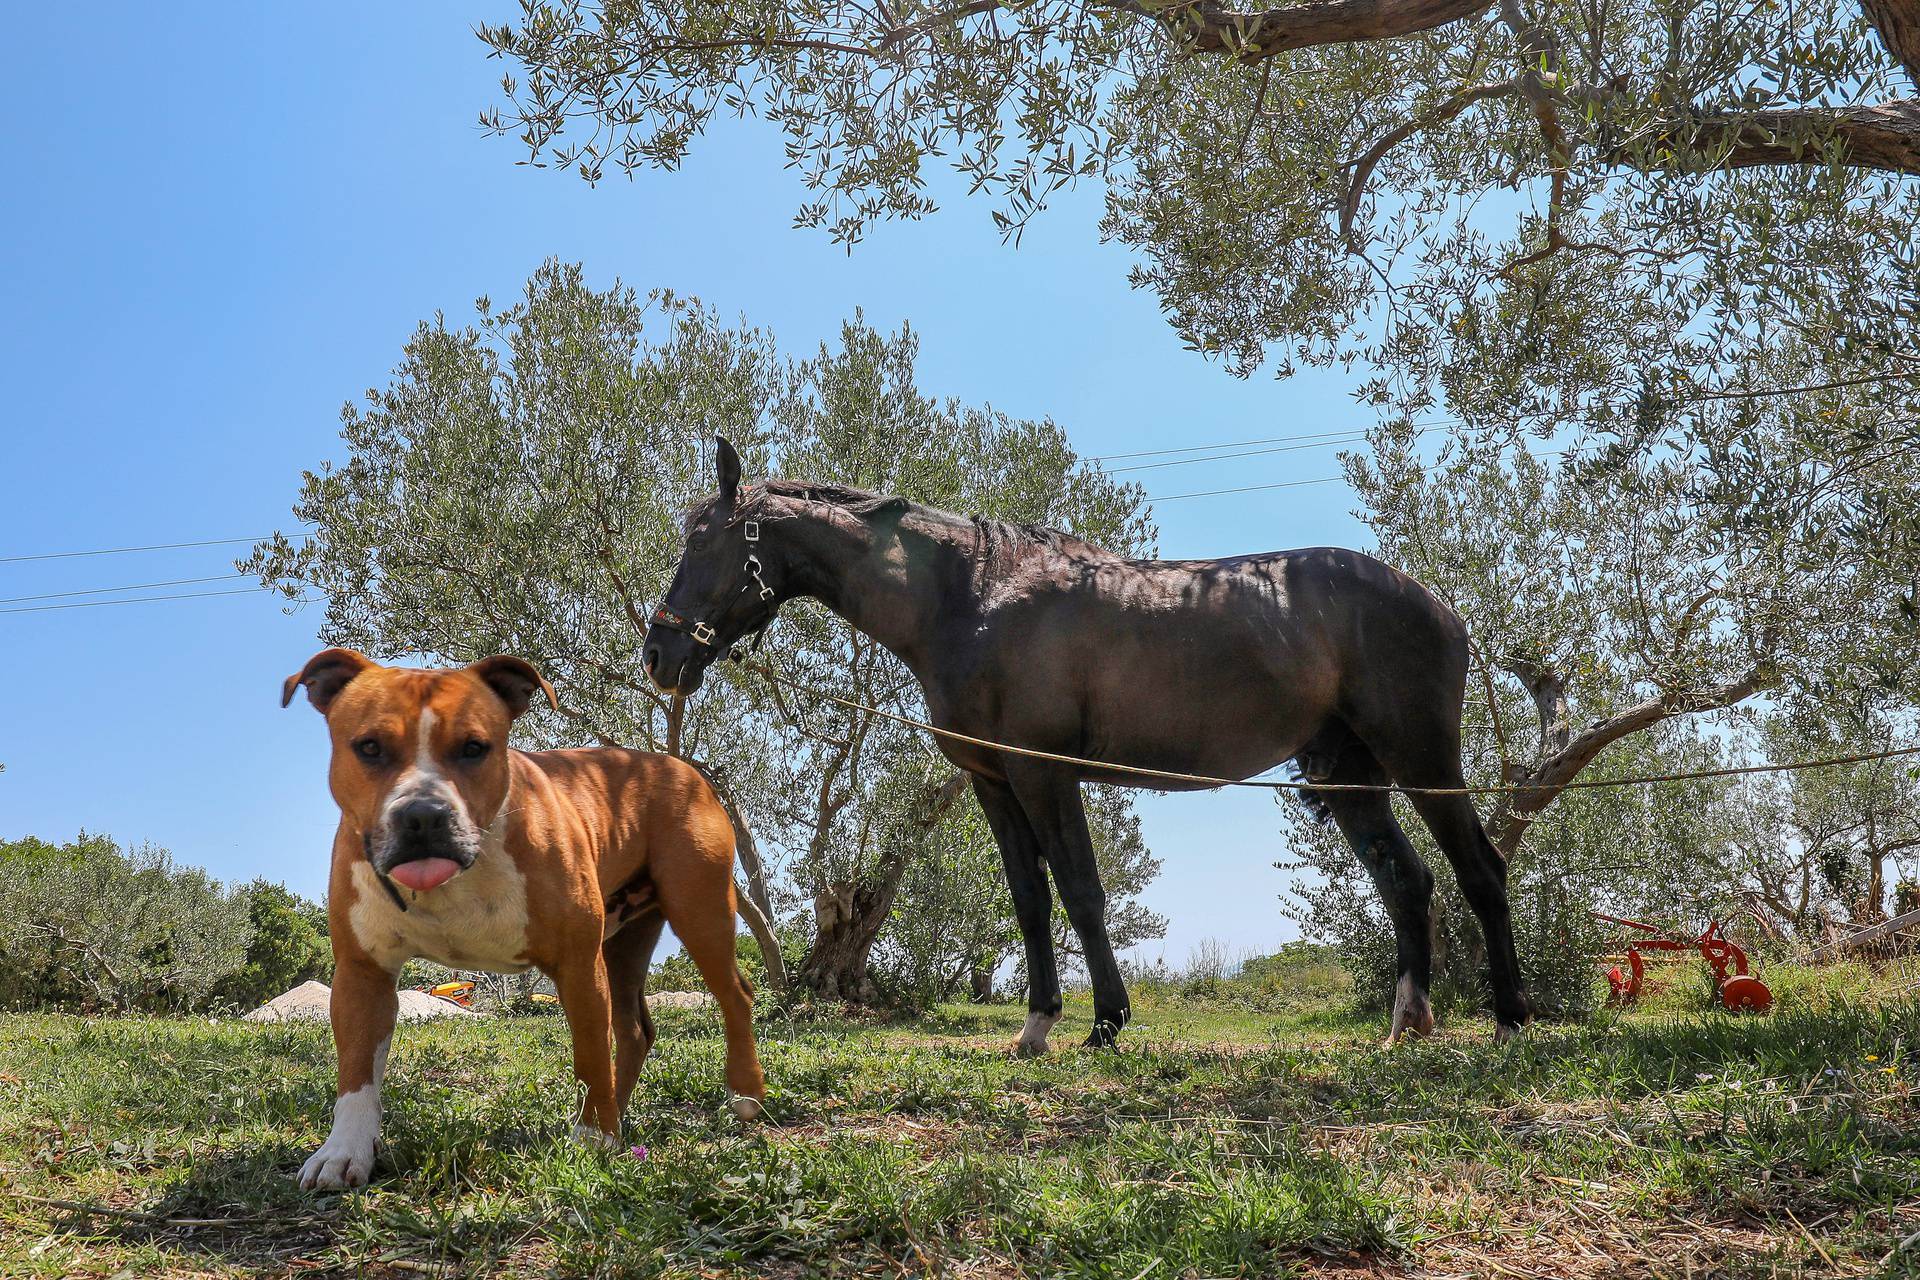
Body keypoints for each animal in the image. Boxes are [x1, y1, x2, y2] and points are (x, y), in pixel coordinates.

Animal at [284, 652, 764, 1189]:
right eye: (369, 747)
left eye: (474, 748)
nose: (423, 815)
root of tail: (682, 768)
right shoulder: (362, 973)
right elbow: (356, 1073)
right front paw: (343, 1151)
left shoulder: (578, 965)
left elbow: (589, 1053)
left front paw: (593, 1139)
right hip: (623, 945)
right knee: (634, 1030)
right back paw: (619, 1113)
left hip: (699, 910)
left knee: (734, 997)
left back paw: (742, 1095)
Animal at [645, 441, 1528, 1051]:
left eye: (703, 543)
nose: (659, 654)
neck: (971, 599)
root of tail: (1438, 606)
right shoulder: (994, 782)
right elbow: (1030, 901)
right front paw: (1037, 1025)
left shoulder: (1045, 773)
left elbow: (1080, 892)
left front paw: (1105, 1022)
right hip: (1350, 776)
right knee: (1407, 883)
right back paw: (1407, 1024)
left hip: (1422, 761)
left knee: (1479, 871)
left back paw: (1511, 1019)